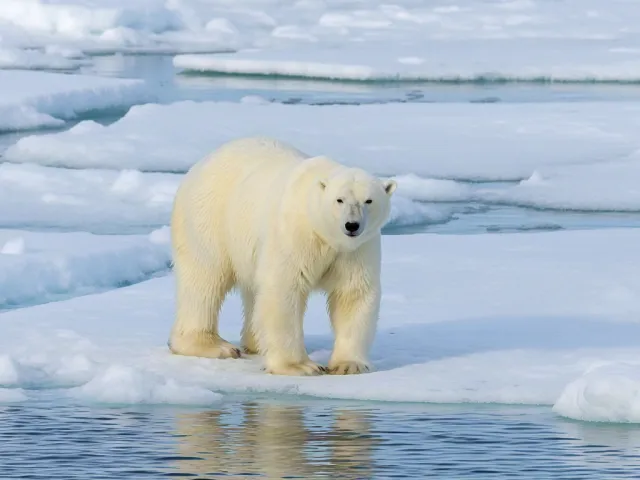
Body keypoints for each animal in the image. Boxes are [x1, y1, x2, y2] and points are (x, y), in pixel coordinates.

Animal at [168, 136, 396, 376]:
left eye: (369, 201)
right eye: (339, 200)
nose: (352, 225)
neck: (323, 231)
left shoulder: (356, 249)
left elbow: (352, 293)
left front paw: (348, 364)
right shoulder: (295, 235)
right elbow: (283, 290)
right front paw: (300, 366)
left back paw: (254, 343)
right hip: (209, 218)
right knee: (204, 279)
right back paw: (212, 345)